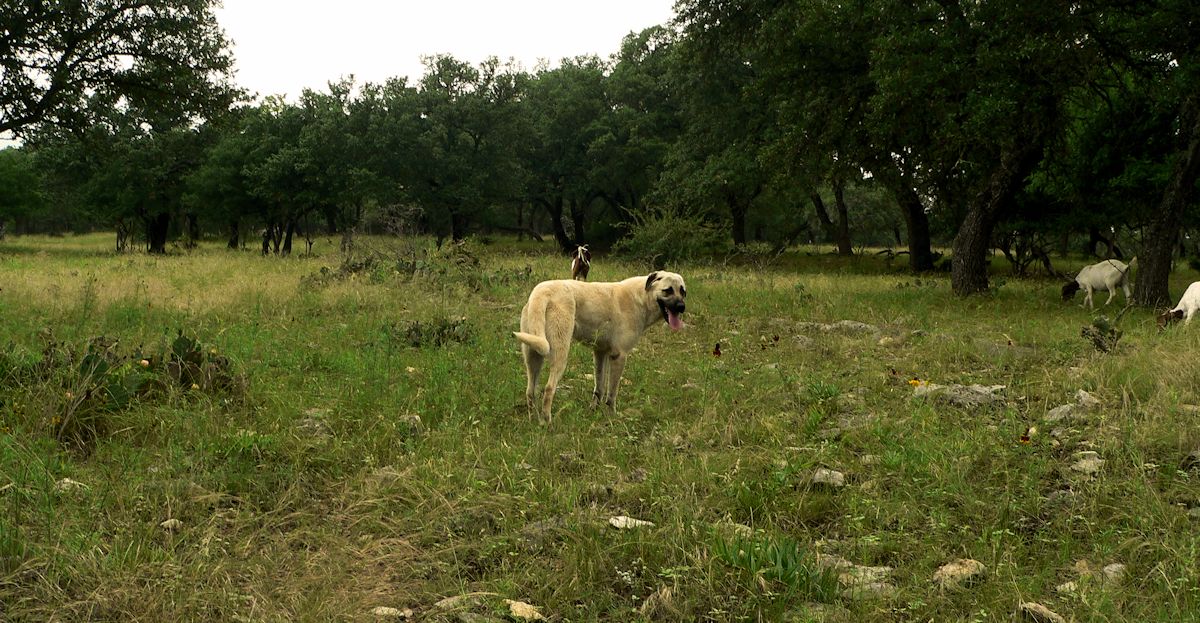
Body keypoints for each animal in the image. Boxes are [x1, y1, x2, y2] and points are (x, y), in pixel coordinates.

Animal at [513, 271, 691, 422]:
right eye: (667, 291)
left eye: (683, 292)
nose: (682, 307)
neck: (642, 297)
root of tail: (541, 292)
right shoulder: (619, 356)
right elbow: (612, 393)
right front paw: (612, 416)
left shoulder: (600, 352)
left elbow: (599, 387)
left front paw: (594, 410)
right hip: (560, 354)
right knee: (549, 389)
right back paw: (547, 422)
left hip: (533, 356)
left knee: (530, 391)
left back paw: (534, 420)